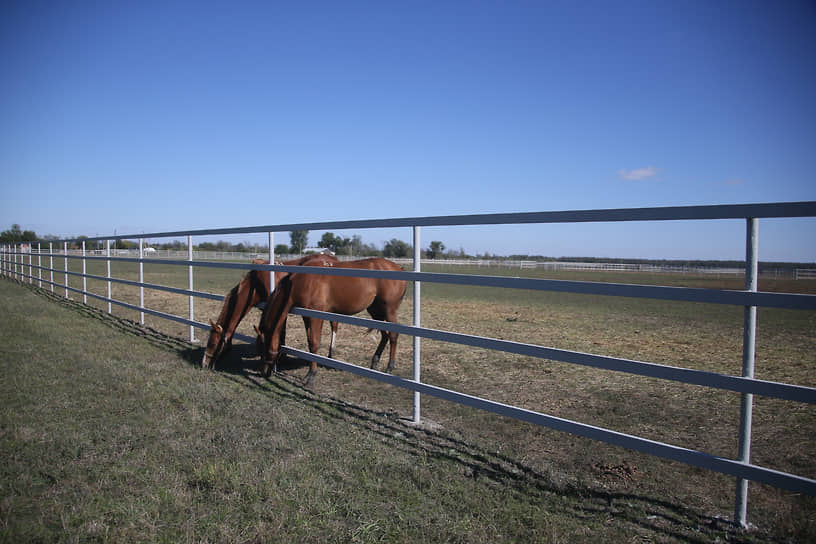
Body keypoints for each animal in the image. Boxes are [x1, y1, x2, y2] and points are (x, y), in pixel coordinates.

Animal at [202, 255, 340, 370]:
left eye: (212, 343)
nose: (204, 364)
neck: (255, 283)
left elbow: (280, 332)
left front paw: (280, 358)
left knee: (334, 325)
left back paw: (330, 354)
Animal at [256, 258, 406, 386]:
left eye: (264, 346)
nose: (263, 371)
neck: (302, 281)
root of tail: (399, 268)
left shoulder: (316, 316)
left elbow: (315, 343)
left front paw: (311, 375)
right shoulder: (306, 316)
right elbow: (310, 342)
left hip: (389, 310)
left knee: (393, 336)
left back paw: (389, 367)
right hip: (376, 311)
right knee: (385, 335)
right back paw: (374, 362)